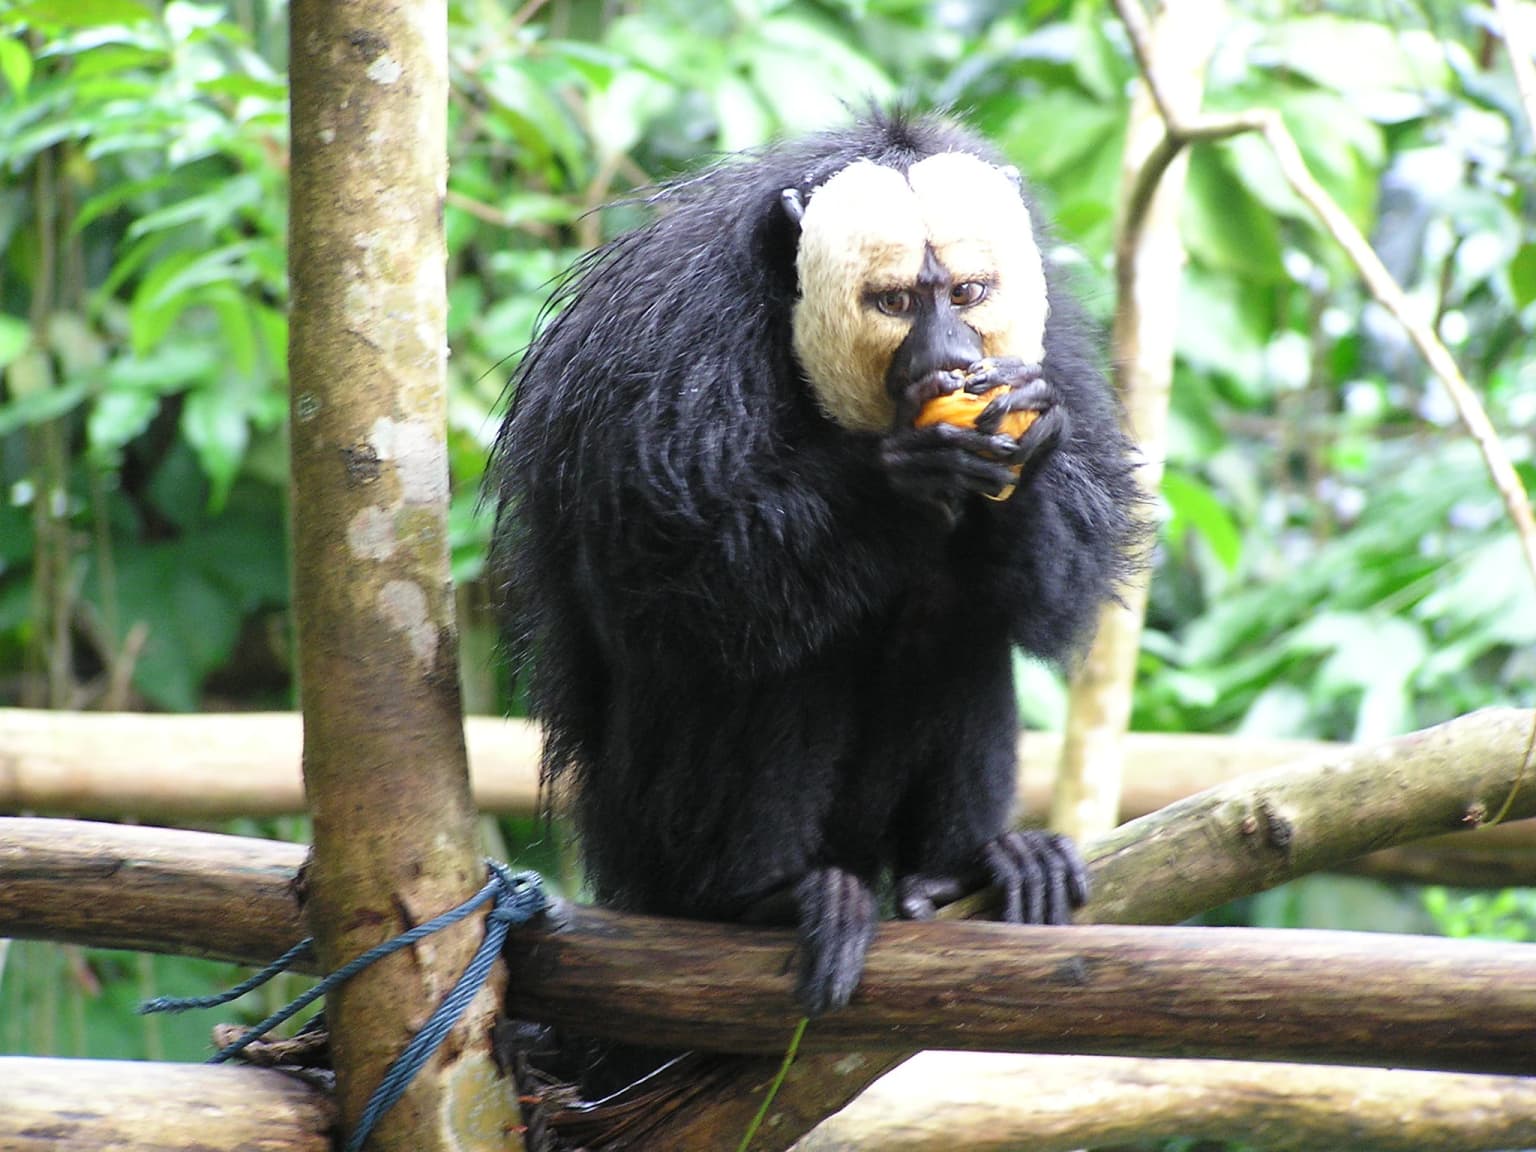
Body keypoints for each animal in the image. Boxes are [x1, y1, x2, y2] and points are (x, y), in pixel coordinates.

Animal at [489, 109, 1142, 1022]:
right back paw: (762, 899)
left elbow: (1062, 587)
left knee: (958, 614)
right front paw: (906, 473)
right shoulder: (673, 355)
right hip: (646, 830)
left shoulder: (1056, 358)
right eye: (896, 302)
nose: (950, 356)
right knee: (774, 649)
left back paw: (963, 871)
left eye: (966, 294)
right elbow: (670, 589)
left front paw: (1034, 439)